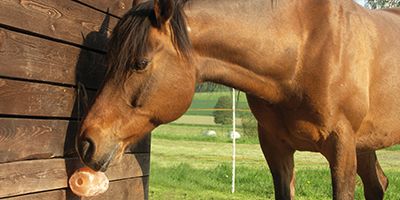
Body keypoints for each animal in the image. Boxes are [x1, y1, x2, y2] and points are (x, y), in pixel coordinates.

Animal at [76, 0, 400, 199]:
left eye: (140, 63)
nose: (86, 142)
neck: (303, 49)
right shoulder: (276, 149)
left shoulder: (341, 146)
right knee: (378, 185)